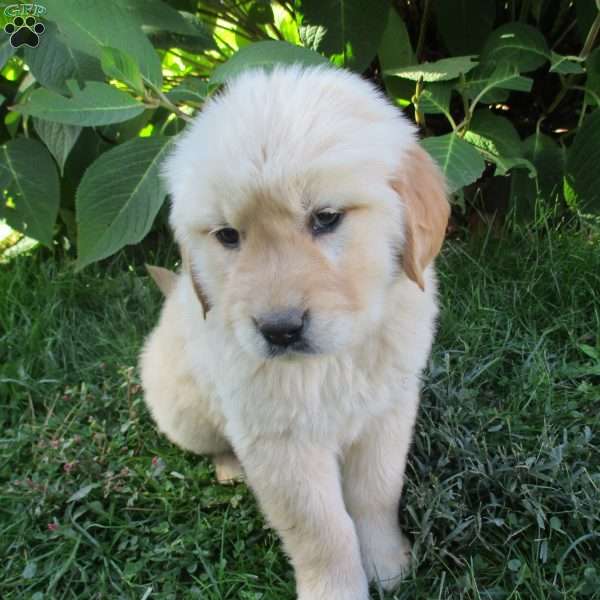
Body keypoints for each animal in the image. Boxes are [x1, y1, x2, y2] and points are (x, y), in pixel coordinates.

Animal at [142, 63, 450, 596]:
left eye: (325, 218)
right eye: (228, 236)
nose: (279, 330)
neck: (334, 362)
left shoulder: (387, 412)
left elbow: (376, 494)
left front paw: (387, 564)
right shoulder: (280, 444)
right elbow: (322, 532)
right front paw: (339, 589)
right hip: (183, 412)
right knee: (214, 443)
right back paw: (230, 467)